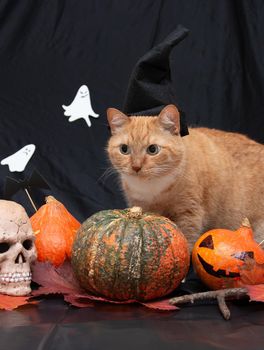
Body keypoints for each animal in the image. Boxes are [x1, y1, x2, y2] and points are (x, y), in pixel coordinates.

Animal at [106, 104, 264, 249]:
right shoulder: (141, 206)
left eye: (153, 149)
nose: (136, 167)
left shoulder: (189, 214)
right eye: (124, 149)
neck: (152, 188)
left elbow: (186, 241)